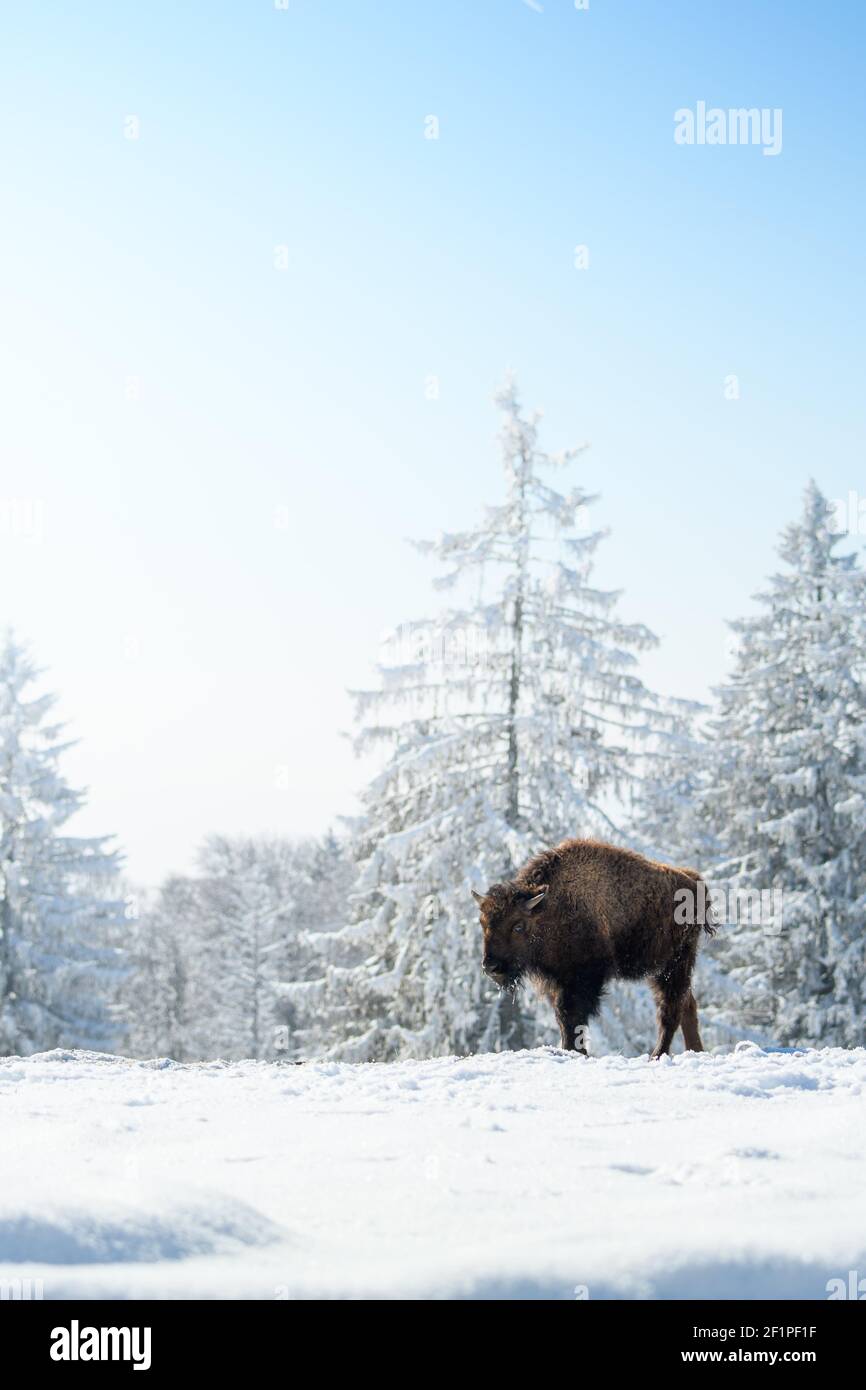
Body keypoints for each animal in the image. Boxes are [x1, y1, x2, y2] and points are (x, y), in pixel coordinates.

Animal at [469, 839, 717, 1056]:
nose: (491, 967)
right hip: (662, 970)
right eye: (482, 923)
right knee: (687, 1005)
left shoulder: (582, 979)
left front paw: (575, 1051)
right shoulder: (557, 981)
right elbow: (563, 1016)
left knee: (670, 1009)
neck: (549, 907)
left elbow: (571, 1015)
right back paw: (694, 1051)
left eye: (518, 926)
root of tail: (694, 882)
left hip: (674, 966)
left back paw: (657, 1055)